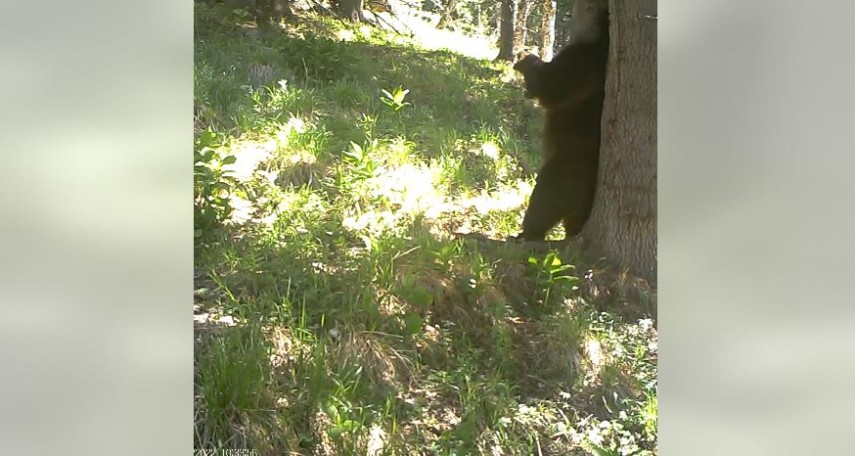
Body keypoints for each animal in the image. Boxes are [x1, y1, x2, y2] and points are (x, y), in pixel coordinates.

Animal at [512, 0, 612, 242]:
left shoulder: (582, 63)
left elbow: (550, 86)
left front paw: (526, 63)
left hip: (571, 169)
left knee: (546, 196)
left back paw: (528, 233)